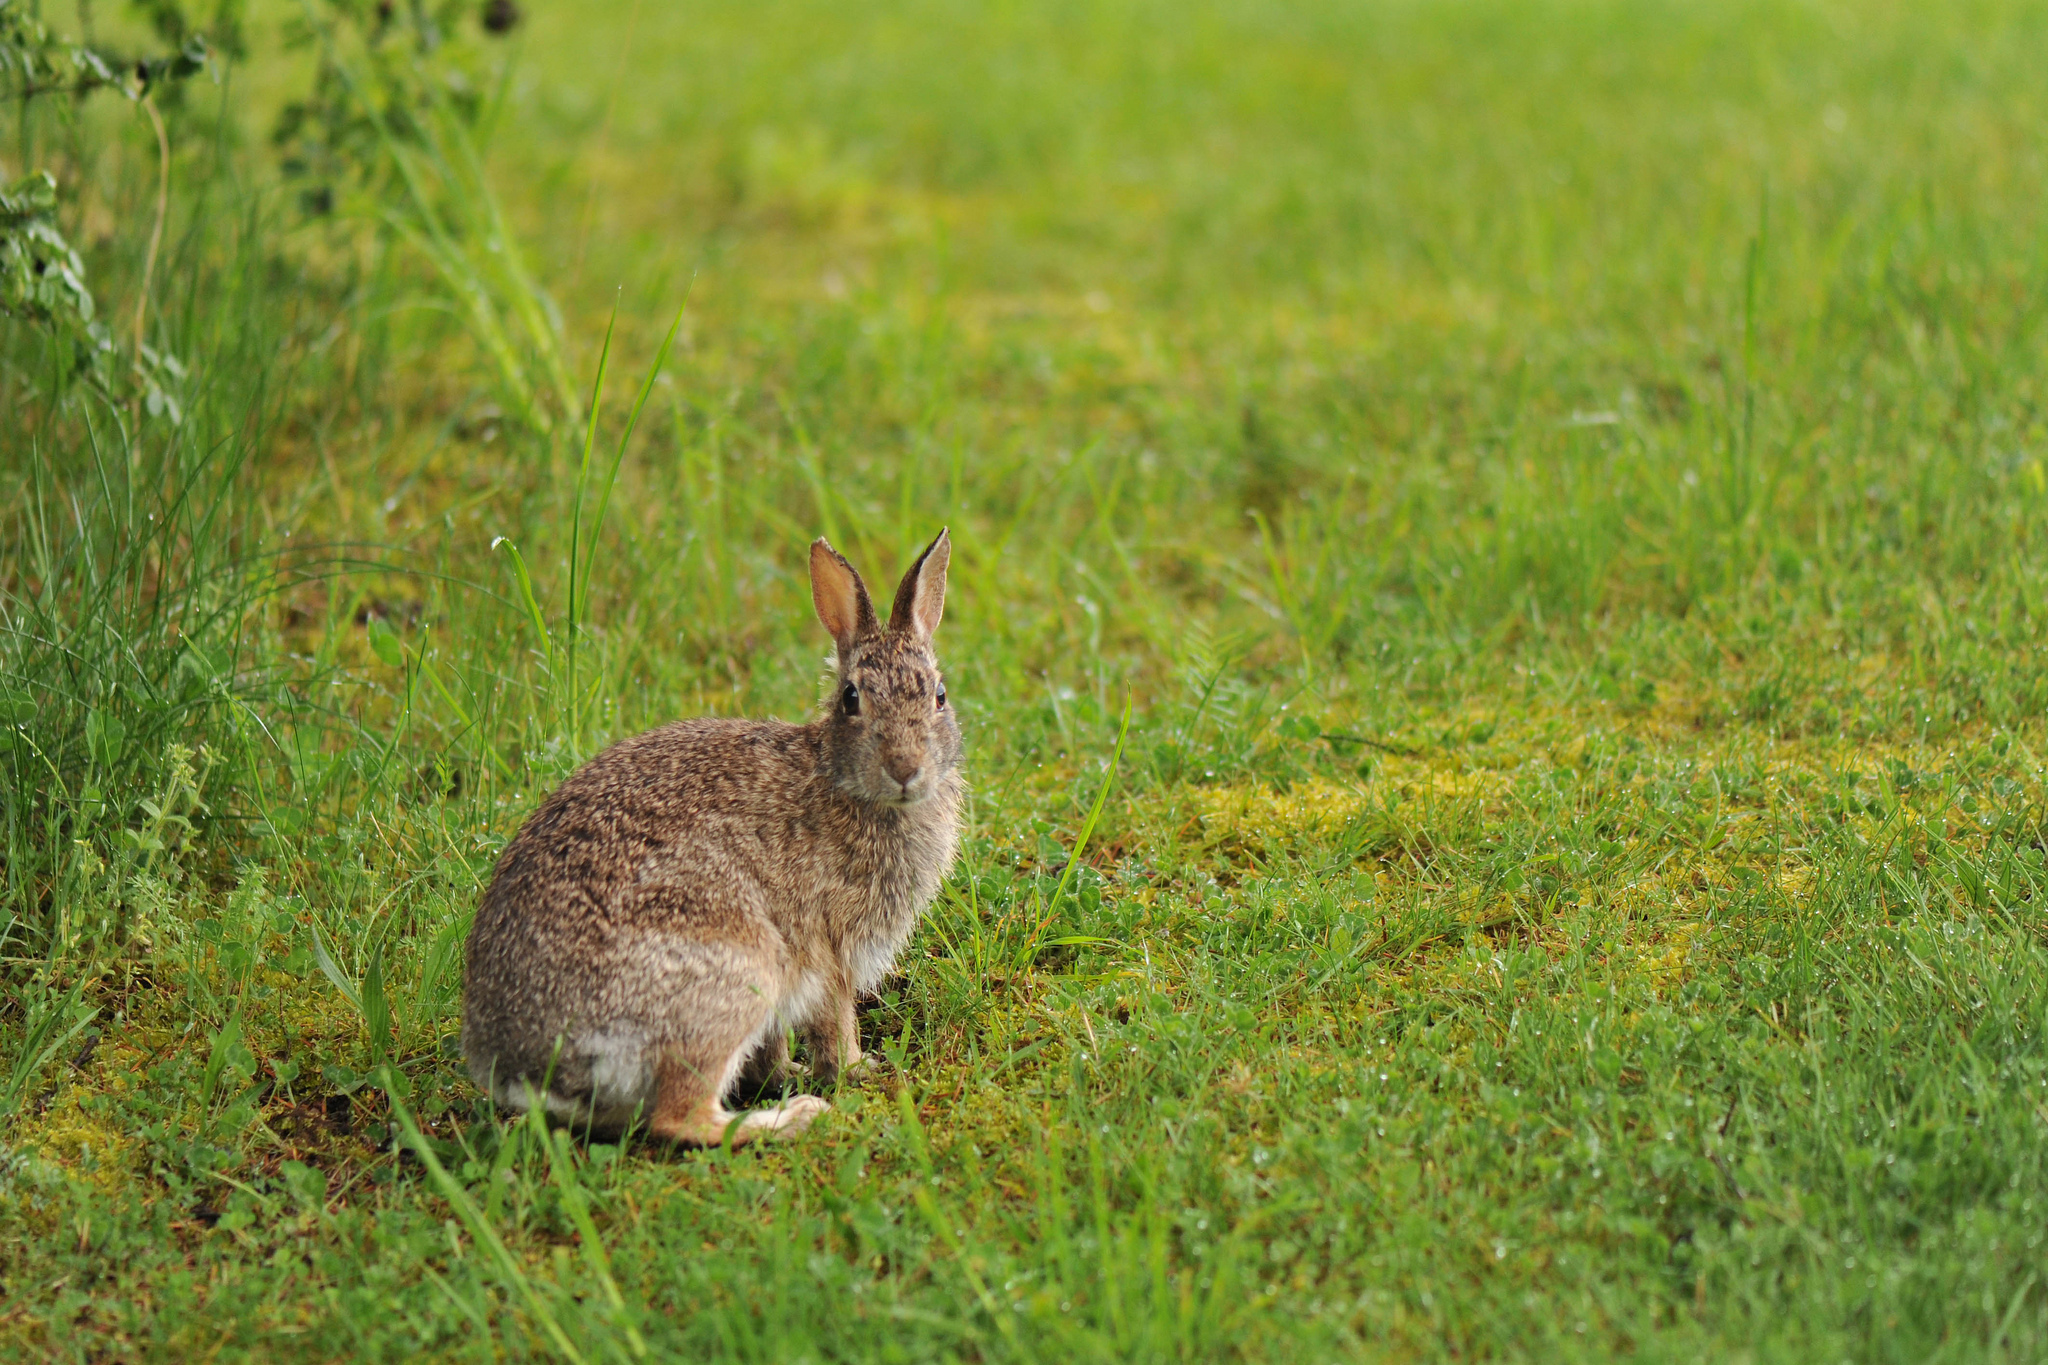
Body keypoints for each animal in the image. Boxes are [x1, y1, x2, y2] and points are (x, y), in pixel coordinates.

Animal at [464, 527, 966, 1146]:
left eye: (939, 696)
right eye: (851, 698)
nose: (905, 769)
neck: (842, 778)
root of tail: (527, 1070)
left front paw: (790, 1071)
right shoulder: (829, 950)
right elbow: (836, 1020)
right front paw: (856, 1070)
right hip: (736, 975)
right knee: (681, 1117)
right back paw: (795, 1117)